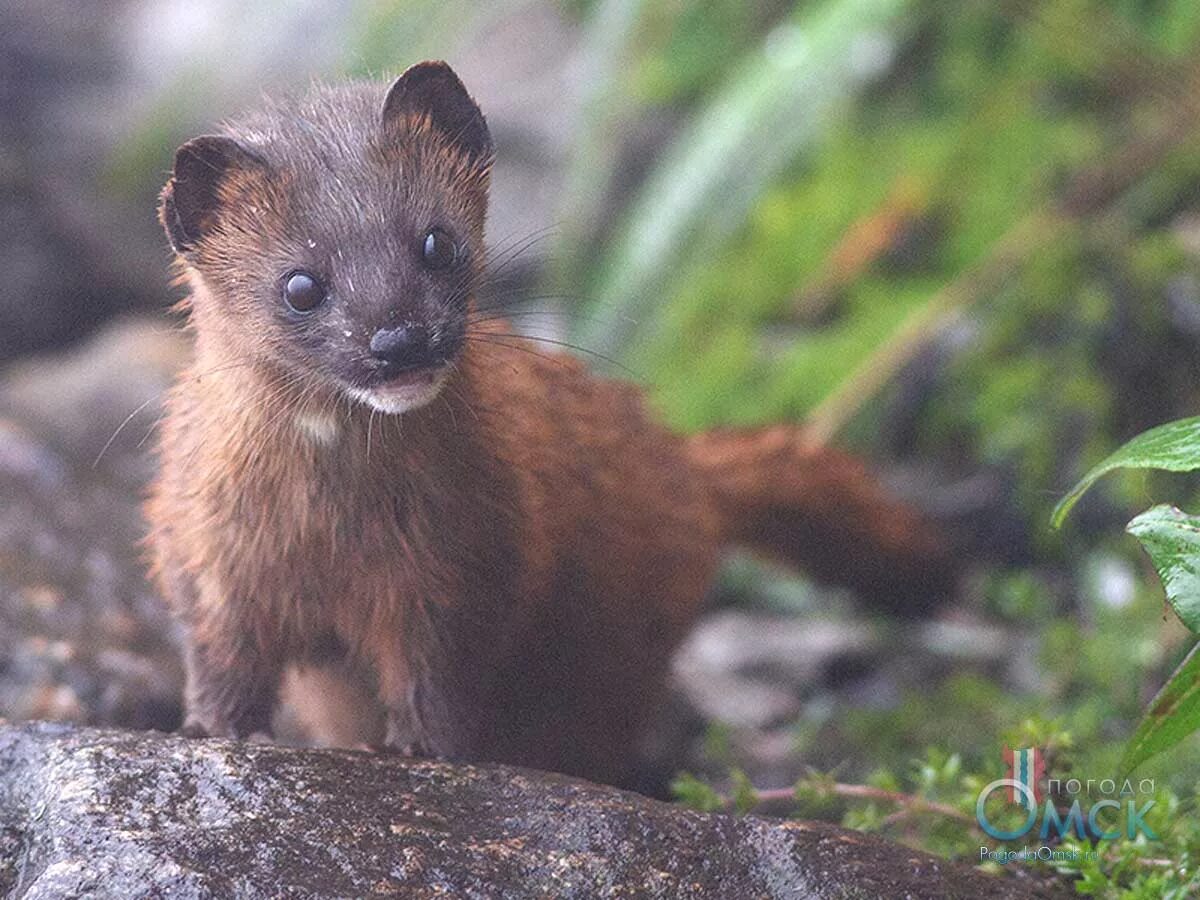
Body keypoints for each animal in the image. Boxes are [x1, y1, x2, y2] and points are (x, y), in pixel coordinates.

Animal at [147, 60, 955, 787]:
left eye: (437, 240)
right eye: (301, 285)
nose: (400, 341)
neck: (333, 532)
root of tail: (684, 466)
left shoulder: (466, 557)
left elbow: (439, 666)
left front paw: (418, 749)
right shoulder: (205, 554)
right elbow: (222, 654)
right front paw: (215, 730)